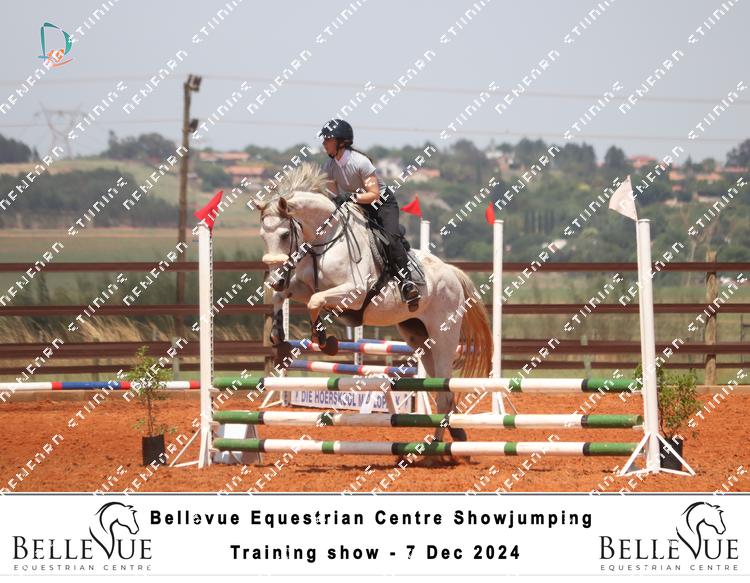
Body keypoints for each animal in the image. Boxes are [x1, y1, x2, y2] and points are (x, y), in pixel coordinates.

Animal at [249, 163, 493, 457]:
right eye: (262, 236)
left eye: (285, 235)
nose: (275, 278)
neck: (326, 240)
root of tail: (452, 273)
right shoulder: (302, 286)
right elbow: (285, 296)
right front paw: (279, 338)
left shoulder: (352, 293)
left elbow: (315, 302)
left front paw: (325, 341)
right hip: (418, 336)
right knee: (440, 391)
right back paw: (450, 438)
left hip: (443, 334)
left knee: (445, 390)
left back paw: (436, 448)